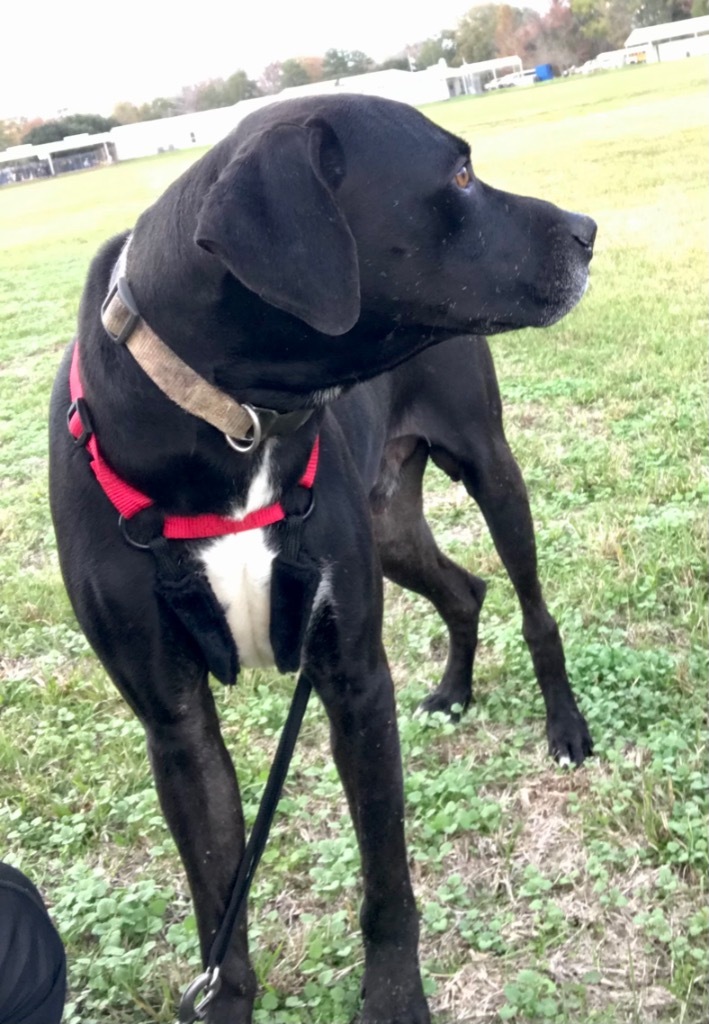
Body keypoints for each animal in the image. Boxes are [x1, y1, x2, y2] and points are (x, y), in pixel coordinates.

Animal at [47, 92, 594, 1019]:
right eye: (458, 175)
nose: (587, 229)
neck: (233, 421)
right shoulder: (174, 722)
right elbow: (218, 894)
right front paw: (226, 1001)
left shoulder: (352, 679)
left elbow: (386, 880)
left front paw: (394, 997)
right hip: (390, 530)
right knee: (464, 589)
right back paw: (453, 690)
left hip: (487, 469)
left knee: (532, 607)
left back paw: (562, 725)